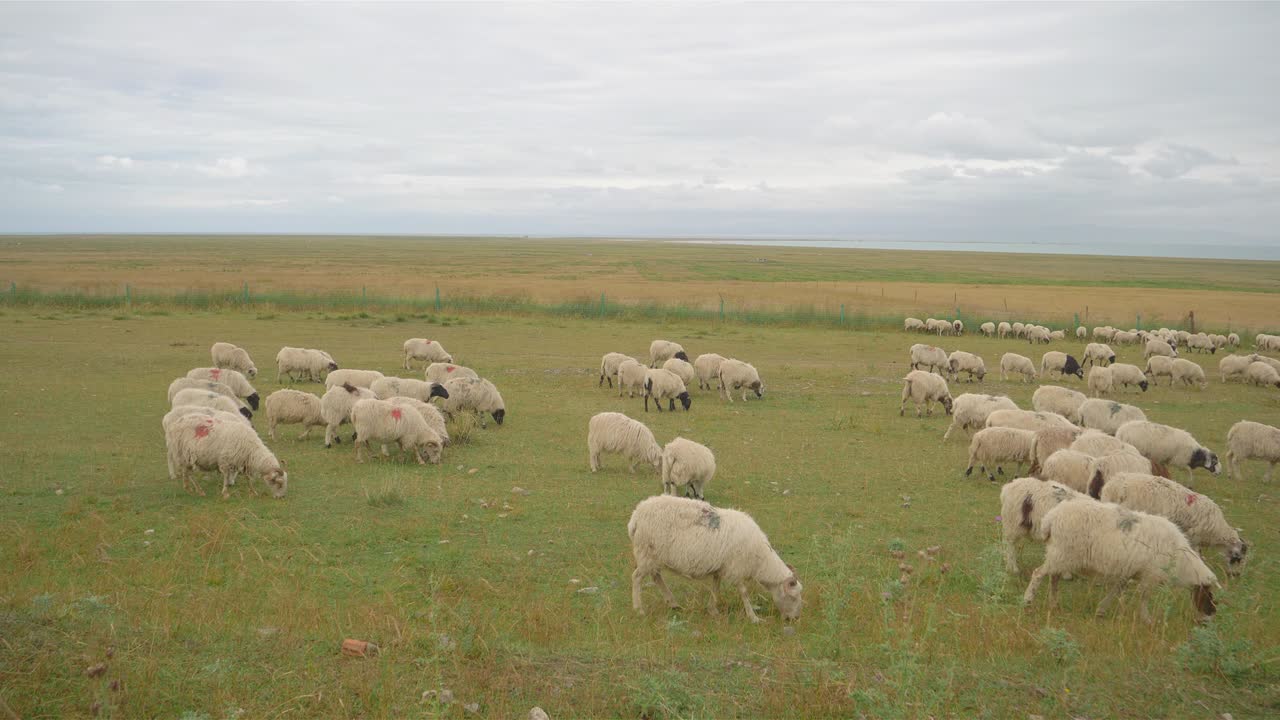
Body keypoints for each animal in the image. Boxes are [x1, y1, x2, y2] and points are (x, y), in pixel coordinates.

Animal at [627, 495, 802, 623]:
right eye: (793, 597)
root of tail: (636, 516)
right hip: (646, 552)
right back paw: (639, 609)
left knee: (656, 577)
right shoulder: (736, 568)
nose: (794, 619)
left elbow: (715, 588)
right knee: (636, 577)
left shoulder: (721, 567)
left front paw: (713, 610)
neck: (761, 561)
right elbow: (744, 593)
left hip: (652, 556)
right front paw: (753, 617)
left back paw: (673, 603)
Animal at [1022, 498, 1218, 622]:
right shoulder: (1150, 576)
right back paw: (1028, 600)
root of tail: (1051, 518)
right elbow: (1143, 597)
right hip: (1062, 553)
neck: (1183, 563)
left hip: (1061, 555)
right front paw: (1147, 619)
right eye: (1208, 594)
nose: (1211, 615)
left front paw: (1101, 610)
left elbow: (1116, 590)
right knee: (1038, 574)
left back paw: (1054, 604)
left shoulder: (1129, 572)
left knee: (1053, 578)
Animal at [1094, 473, 1247, 574]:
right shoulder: (1195, 536)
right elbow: (1196, 553)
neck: (1218, 531)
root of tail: (1115, 487)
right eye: (1238, 557)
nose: (1235, 575)